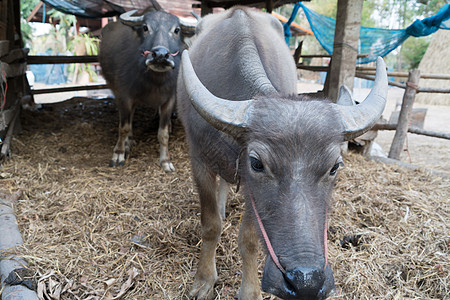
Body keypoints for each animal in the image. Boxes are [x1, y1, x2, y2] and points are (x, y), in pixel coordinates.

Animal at [100, 8, 193, 170]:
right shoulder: (124, 96)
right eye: (145, 27)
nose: (161, 55)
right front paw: (118, 154)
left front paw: (165, 161)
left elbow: (163, 133)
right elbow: (123, 128)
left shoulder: (169, 100)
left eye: (176, 30)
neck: (154, 81)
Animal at [178, 7, 388, 300]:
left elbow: (249, 239)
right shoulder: (199, 160)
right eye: (257, 163)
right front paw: (204, 280)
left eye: (335, 166)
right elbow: (210, 226)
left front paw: (250, 290)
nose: (306, 281)